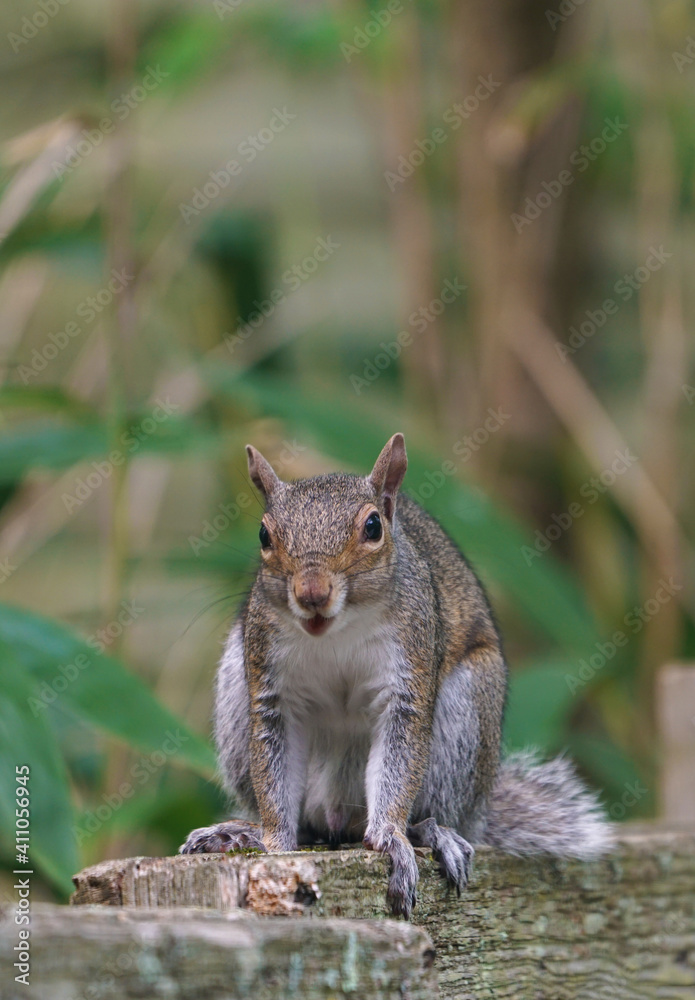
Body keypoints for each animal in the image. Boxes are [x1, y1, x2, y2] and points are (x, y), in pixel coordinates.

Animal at [182, 434, 612, 916]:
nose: (312, 593)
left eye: (373, 527)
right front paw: (273, 843)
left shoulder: (410, 672)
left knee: (424, 809)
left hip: (465, 720)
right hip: (234, 693)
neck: (336, 631)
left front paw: (390, 837)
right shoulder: (270, 690)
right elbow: (275, 774)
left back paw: (430, 831)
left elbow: (399, 758)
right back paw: (240, 832)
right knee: (310, 826)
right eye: (263, 535)